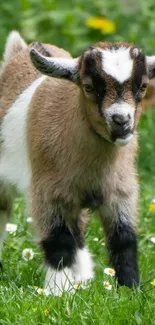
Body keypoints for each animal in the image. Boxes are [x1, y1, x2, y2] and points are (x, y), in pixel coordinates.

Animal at [0, 31, 155, 294]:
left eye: (143, 86)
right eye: (89, 87)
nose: (121, 121)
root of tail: (19, 51)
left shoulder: (121, 190)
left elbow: (124, 238)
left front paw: (130, 289)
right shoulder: (49, 192)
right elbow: (59, 240)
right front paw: (56, 291)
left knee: (78, 228)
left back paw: (83, 277)